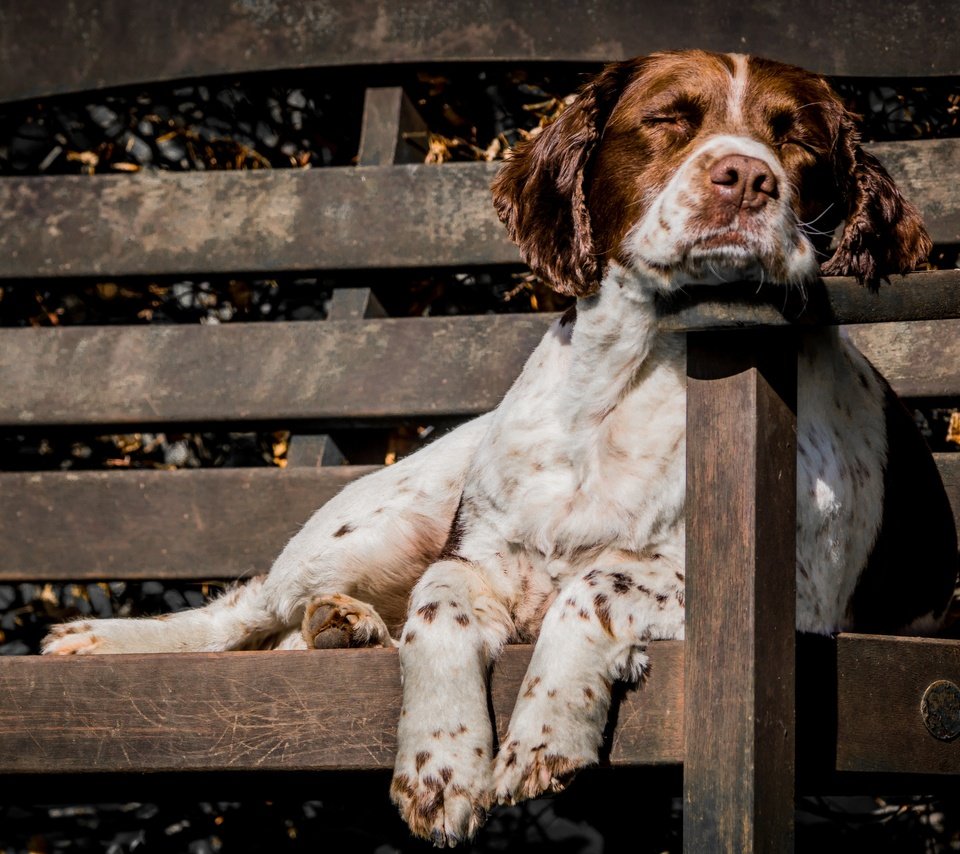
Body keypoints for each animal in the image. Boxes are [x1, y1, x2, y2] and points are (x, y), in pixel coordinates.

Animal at [41, 53, 956, 848]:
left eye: (797, 138)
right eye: (668, 118)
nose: (747, 177)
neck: (630, 382)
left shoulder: (793, 598)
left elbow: (594, 584)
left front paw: (546, 730)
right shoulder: (474, 556)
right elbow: (437, 606)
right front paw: (439, 765)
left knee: (289, 634)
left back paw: (341, 627)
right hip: (372, 525)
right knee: (247, 611)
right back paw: (111, 640)